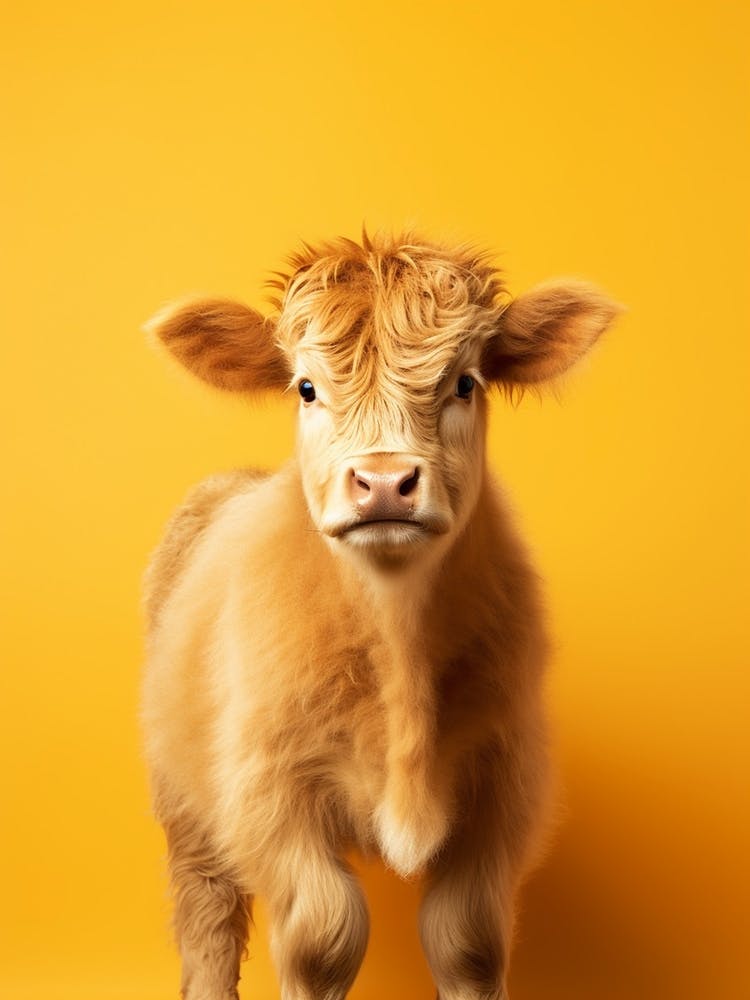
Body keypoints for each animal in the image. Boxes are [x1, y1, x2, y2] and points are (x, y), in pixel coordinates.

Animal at [142, 231, 619, 1000]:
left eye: (465, 383)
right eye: (305, 387)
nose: (386, 482)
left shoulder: (501, 784)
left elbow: (467, 942)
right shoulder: (271, 788)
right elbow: (324, 937)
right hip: (183, 797)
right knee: (206, 913)